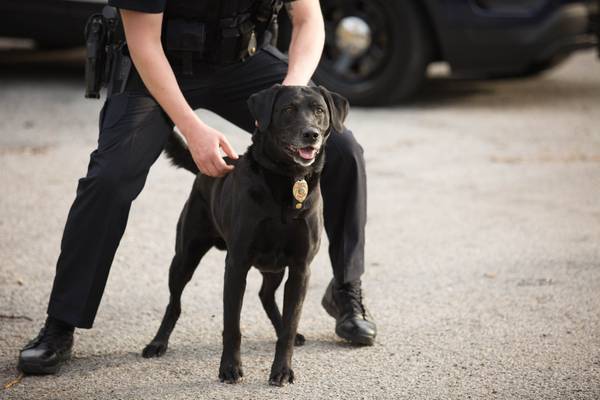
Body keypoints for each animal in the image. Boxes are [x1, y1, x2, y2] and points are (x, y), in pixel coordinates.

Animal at [143, 83, 350, 384]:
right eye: (288, 109)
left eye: (319, 110)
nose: (310, 134)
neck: (287, 180)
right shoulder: (236, 264)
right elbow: (232, 325)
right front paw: (229, 367)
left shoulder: (300, 268)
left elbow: (290, 325)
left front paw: (282, 370)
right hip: (185, 256)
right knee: (174, 303)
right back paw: (158, 343)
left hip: (275, 267)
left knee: (266, 295)